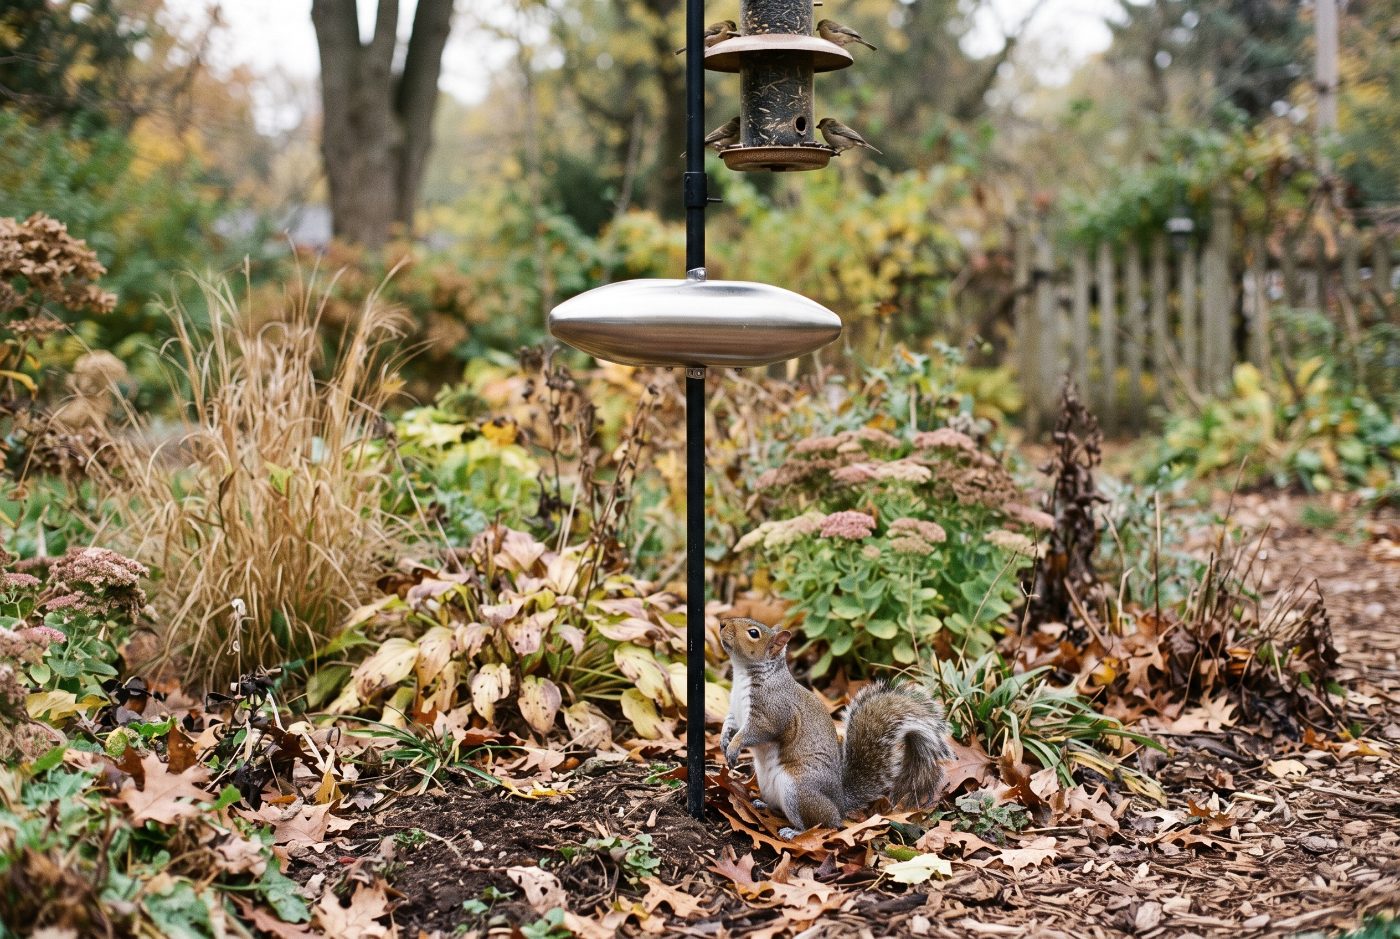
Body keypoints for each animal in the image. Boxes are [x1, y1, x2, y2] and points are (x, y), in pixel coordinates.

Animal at [718, 616, 954, 839]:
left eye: (753, 633)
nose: (721, 623)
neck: (744, 675)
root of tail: (840, 803)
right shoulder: (735, 711)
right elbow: (730, 724)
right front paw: (724, 740)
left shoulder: (772, 712)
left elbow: (756, 732)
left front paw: (734, 747)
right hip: (768, 784)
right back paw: (763, 804)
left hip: (799, 790)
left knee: (824, 822)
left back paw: (796, 832)